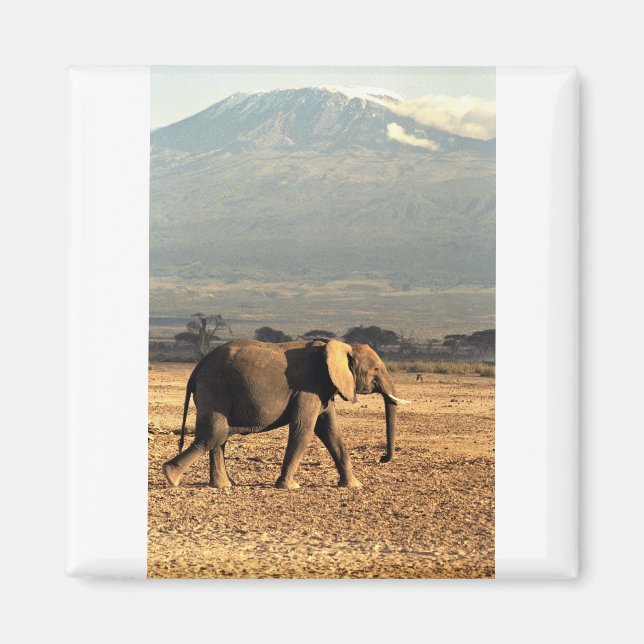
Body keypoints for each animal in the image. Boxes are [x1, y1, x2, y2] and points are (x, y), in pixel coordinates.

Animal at [161, 338, 410, 490]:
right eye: (376, 369)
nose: (382, 458)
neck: (338, 346)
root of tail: (196, 370)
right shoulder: (308, 386)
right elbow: (304, 430)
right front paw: (290, 486)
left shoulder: (323, 388)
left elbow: (331, 432)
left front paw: (353, 485)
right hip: (216, 389)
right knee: (215, 434)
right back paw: (171, 476)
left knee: (219, 438)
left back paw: (222, 485)